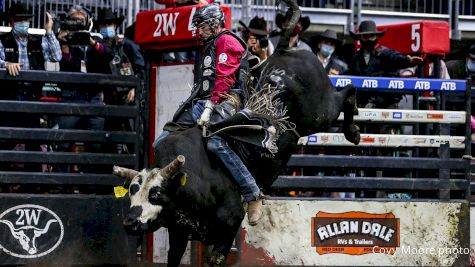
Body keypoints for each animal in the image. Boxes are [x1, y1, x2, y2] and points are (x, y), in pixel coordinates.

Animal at [115, 47, 360, 266]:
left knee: (347, 91)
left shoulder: (230, 224)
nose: (129, 223)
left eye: (156, 193)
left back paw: (353, 131)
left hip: (321, 113)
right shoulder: (178, 233)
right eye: (131, 192)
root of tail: (290, 52)